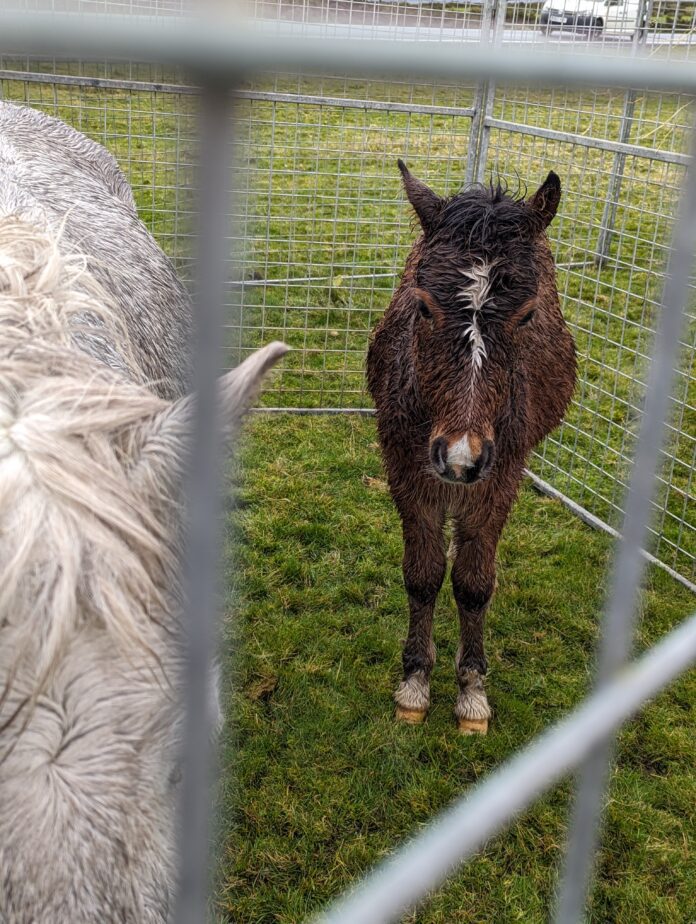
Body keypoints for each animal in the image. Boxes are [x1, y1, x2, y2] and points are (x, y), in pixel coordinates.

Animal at [367, 160, 576, 734]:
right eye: (422, 307)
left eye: (527, 316)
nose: (461, 457)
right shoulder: (406, 465)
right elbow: (423, 575)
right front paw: (414, 685)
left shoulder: (501, 474)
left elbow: (474, 582)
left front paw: (472, 692)